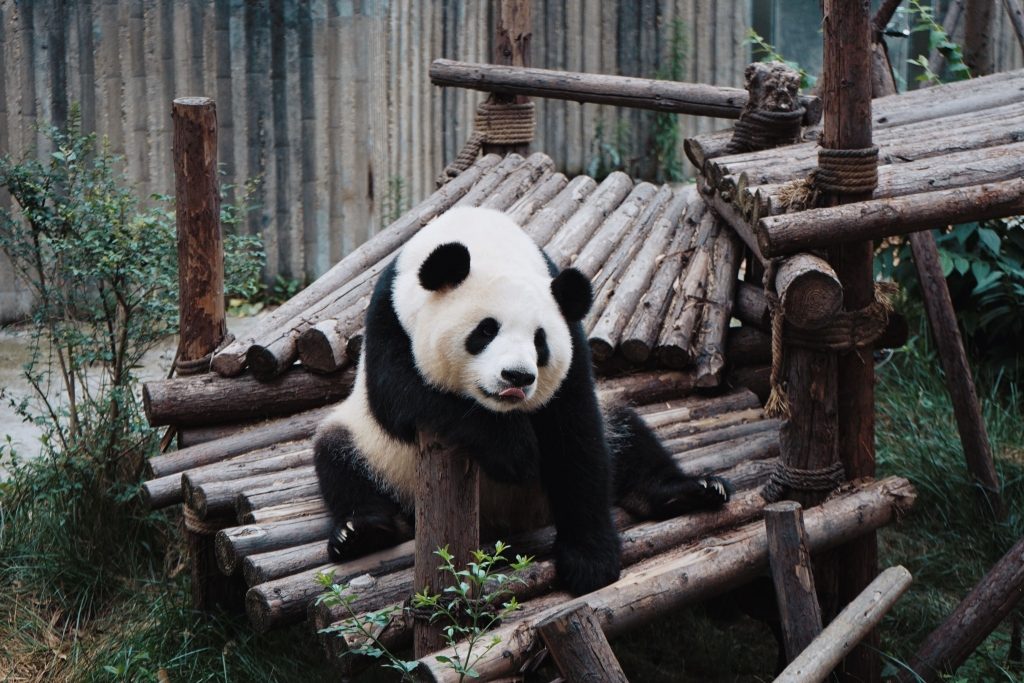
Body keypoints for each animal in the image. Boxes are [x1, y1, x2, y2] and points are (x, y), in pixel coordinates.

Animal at [315, 205, 733, 593]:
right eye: (485, 330)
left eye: (540, 341)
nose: (517, 376)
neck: (482, 237)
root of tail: (506, 521)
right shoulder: (389, 317)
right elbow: (405, 397)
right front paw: (513, 451)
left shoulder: (572, 339)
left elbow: (576, 433)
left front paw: (590, 560)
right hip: (377, 452)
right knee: (338, 458)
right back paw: (360, 532)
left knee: (628, 437)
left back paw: (689, 491)